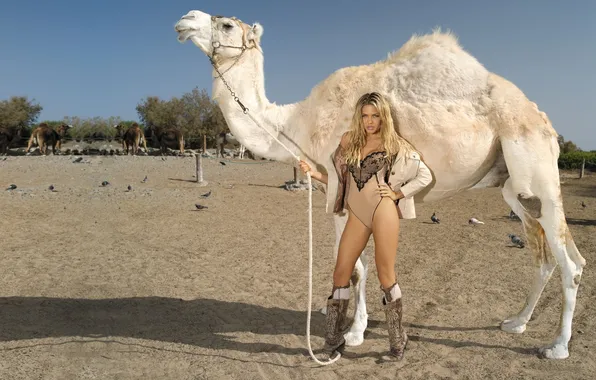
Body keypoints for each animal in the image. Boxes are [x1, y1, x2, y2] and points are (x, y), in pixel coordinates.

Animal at [176, 9, 588, 360]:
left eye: (227, 24)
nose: (185, 19)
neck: (298, 122)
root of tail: (545, 123)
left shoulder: (338, 187)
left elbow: (356, 266)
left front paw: (354, 333)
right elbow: (358, 262)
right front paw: (348, 322)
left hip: (537, 172)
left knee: (571, 262)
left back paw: (557, 347)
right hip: (514, 187)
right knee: (545, 254)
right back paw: (516, 322)